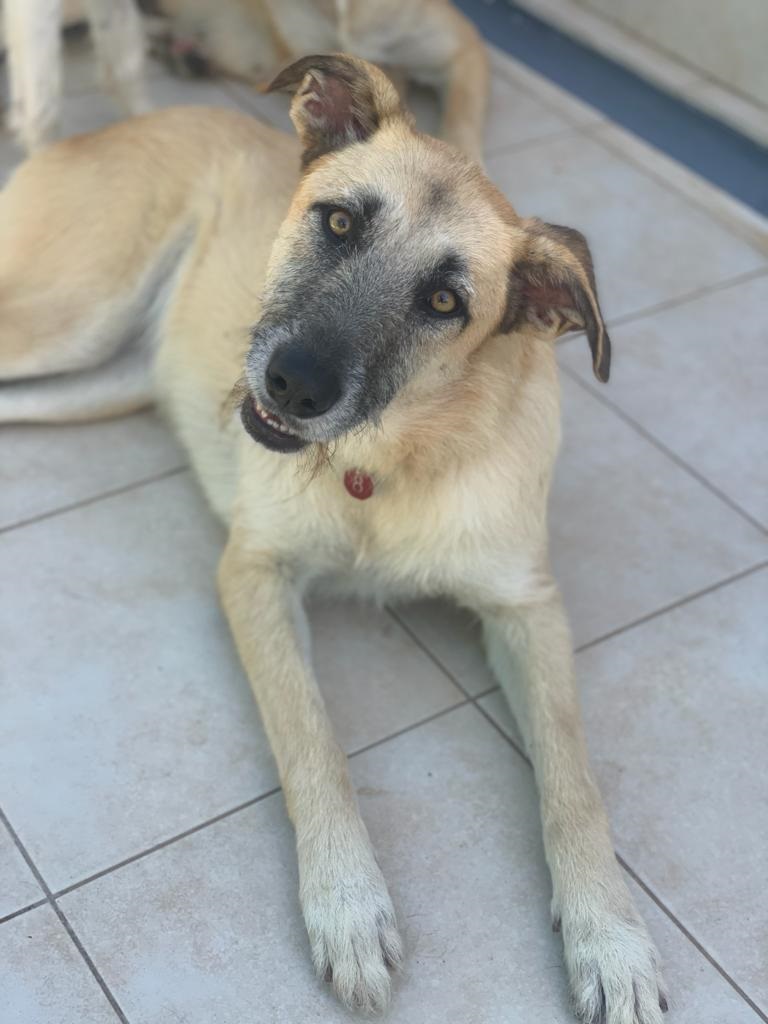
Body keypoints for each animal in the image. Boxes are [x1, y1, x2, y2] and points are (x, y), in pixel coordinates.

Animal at [0, 55, 667, 1022]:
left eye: (444, 300)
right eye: (340, 220)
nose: (293, 384)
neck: (383, 462)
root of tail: (94, 130)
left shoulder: (527, 609)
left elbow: (575, 781)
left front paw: (611, 938)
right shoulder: (254, 572)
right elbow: (313, 740)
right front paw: (348, 904)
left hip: (96, 377)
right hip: (67, 314)